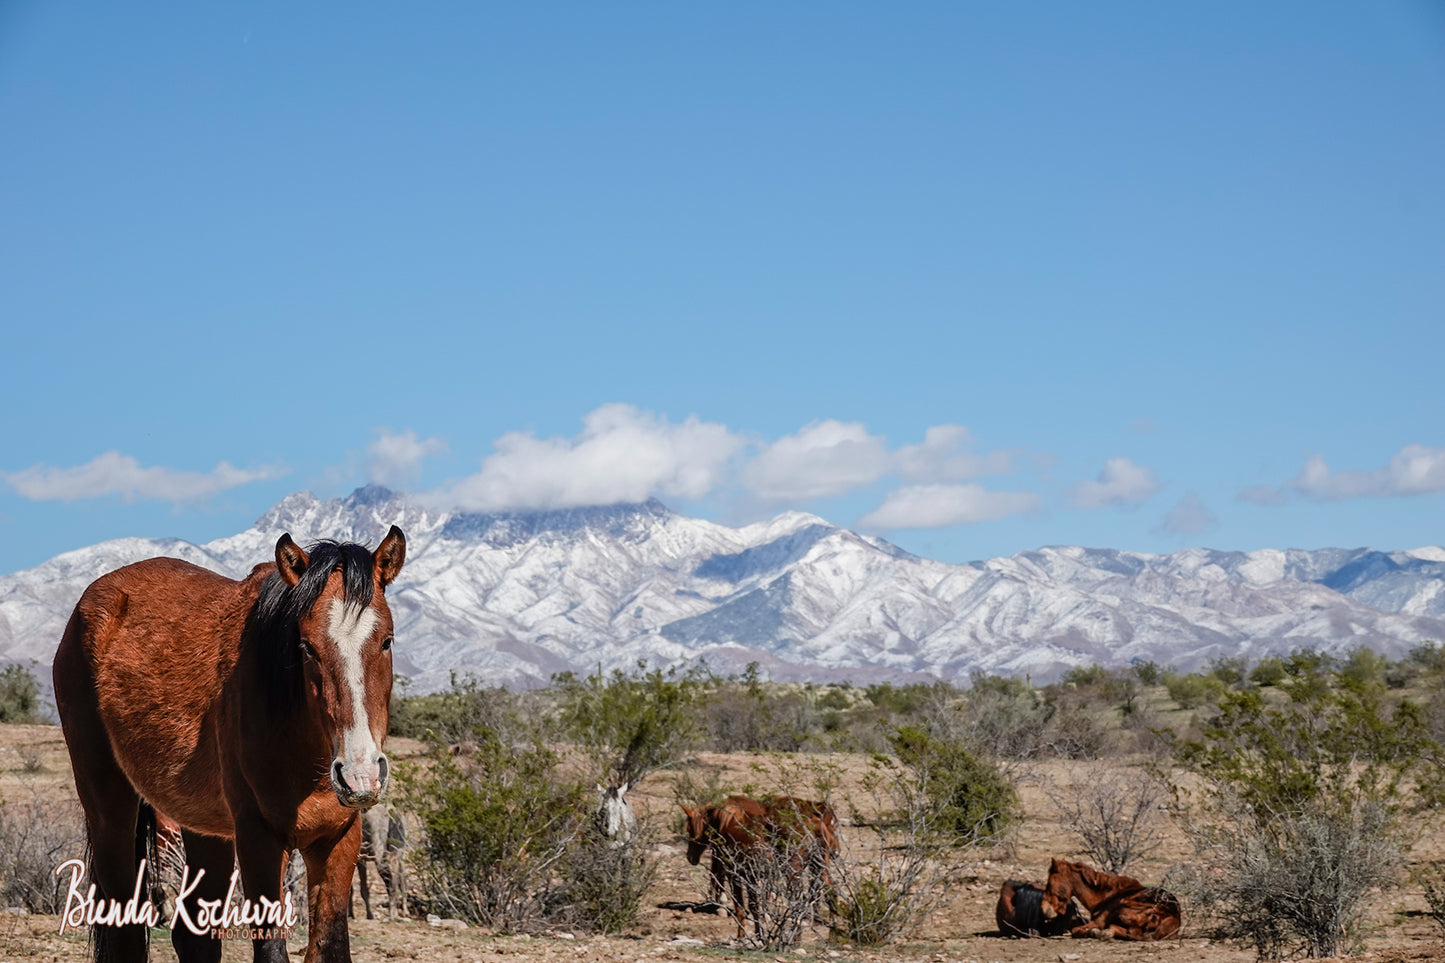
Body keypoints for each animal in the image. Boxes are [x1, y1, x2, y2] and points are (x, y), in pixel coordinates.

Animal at [54, 526, 407, 960]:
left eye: (387, 641)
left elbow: (331, 945)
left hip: (204, 830)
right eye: (306, 646)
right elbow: (271, 949)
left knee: (194, 936)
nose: (358, 775)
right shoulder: (259, 841)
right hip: (109, 809)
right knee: (125, 929)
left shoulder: (338, 840)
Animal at [684, 792, 843, 936]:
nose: (690, 857)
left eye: (689, 829)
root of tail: (811, 825)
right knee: (828, 889)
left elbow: (741, 904)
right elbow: (753, 904)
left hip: (795, 871)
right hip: (817, 866)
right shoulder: (750, 875)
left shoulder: (737, 874)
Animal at [1046, 856, 1179, 936]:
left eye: (1049, 883)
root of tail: (1174, 916)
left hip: (1123, 909)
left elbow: (1076, 930)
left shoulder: (1098, 922)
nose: (1047, 909)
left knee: (1131, 932)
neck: (1105, 895)